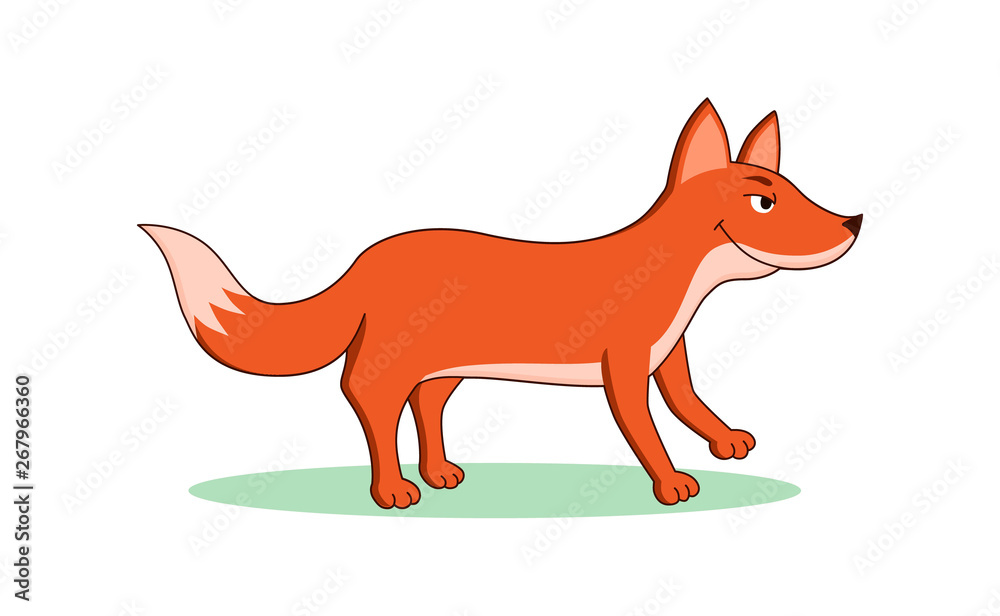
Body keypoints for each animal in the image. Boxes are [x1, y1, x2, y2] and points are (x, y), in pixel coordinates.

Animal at [142, 99, 861, 509]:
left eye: (796, 190)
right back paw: (393, 488)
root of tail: (368, 259)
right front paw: (672, 484)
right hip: (393, 361)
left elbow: (692, 405)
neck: (675, 278)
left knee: (424, 406)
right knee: (367, 399)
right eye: (763, 201)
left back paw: (439, 472)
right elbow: (647, 432)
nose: (853, 221)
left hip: (445, 365)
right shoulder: (624, 368)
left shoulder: (669, 356)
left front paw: (725, 439)